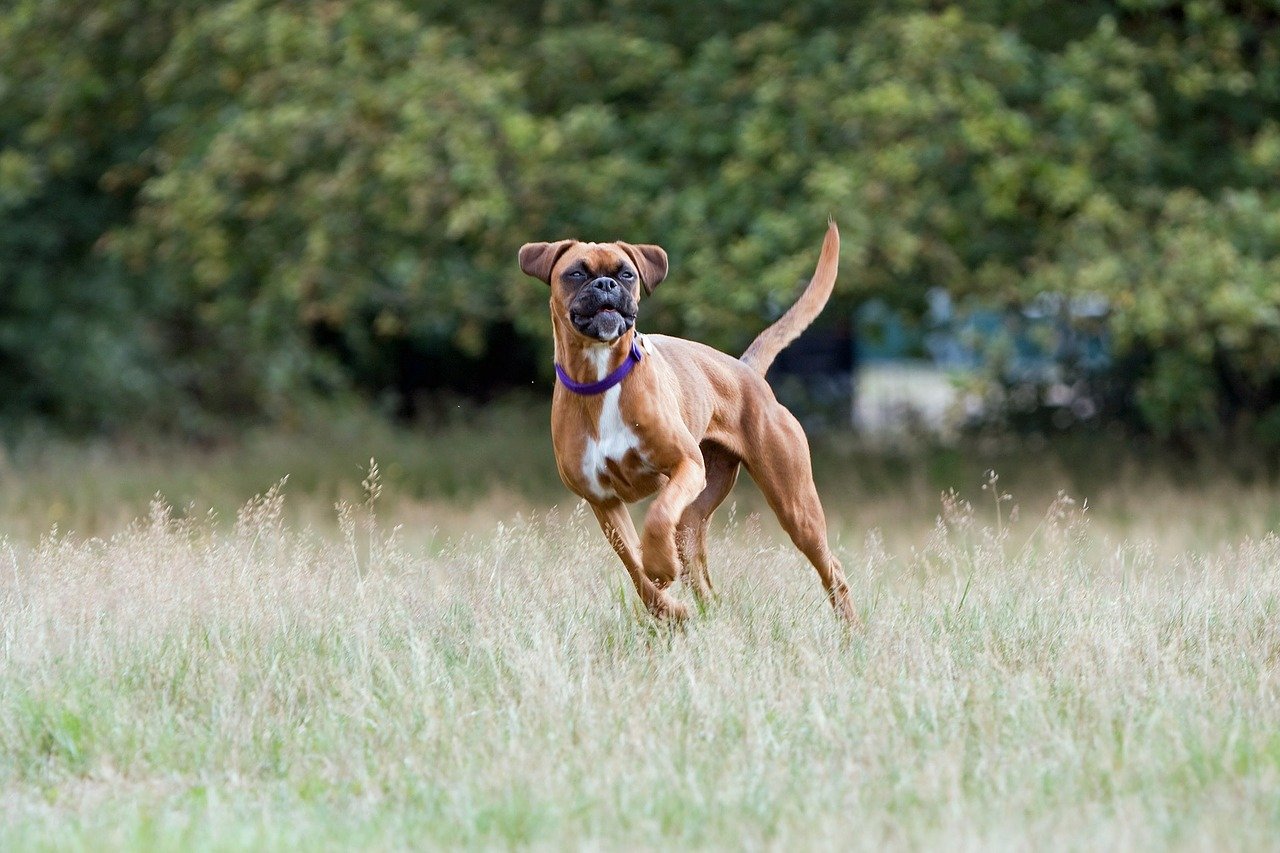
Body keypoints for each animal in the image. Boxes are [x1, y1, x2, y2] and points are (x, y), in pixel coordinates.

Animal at [514, 219, 855, 617]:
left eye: (627, 274)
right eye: (577, 273)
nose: (606, 284)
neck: (600, 379)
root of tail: (745, 369)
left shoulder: (685, 466)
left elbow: (658, 517)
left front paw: (661, 567)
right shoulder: (603, 501)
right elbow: (634, 565)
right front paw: (666, 607)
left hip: (795, 507)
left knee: (833, 569)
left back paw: (850, 627)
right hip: (694, 523)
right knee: (705, 584)